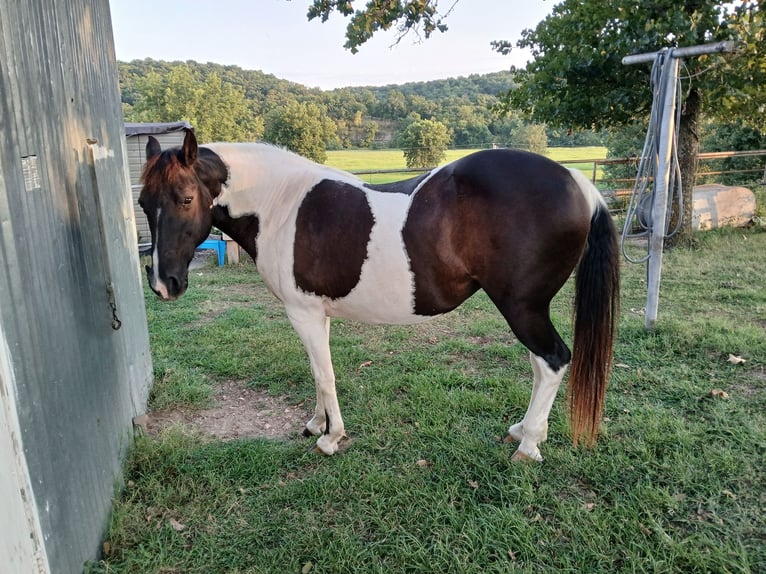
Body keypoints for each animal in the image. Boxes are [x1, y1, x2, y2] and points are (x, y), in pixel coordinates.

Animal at [139, 129, 619, 462]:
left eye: (185, 198)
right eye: (144, 203)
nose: (164, 284)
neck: (279, 203)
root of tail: (577, 181)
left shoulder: (303, 312)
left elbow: (325, 375)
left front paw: (331, 438)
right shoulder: (316, 313)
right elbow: (317, 371)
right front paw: (316, 424)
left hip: (522, 307)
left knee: (553, 360)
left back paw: (528, 446)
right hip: (527, 310)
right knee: (540, 366)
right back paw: (523, 430)